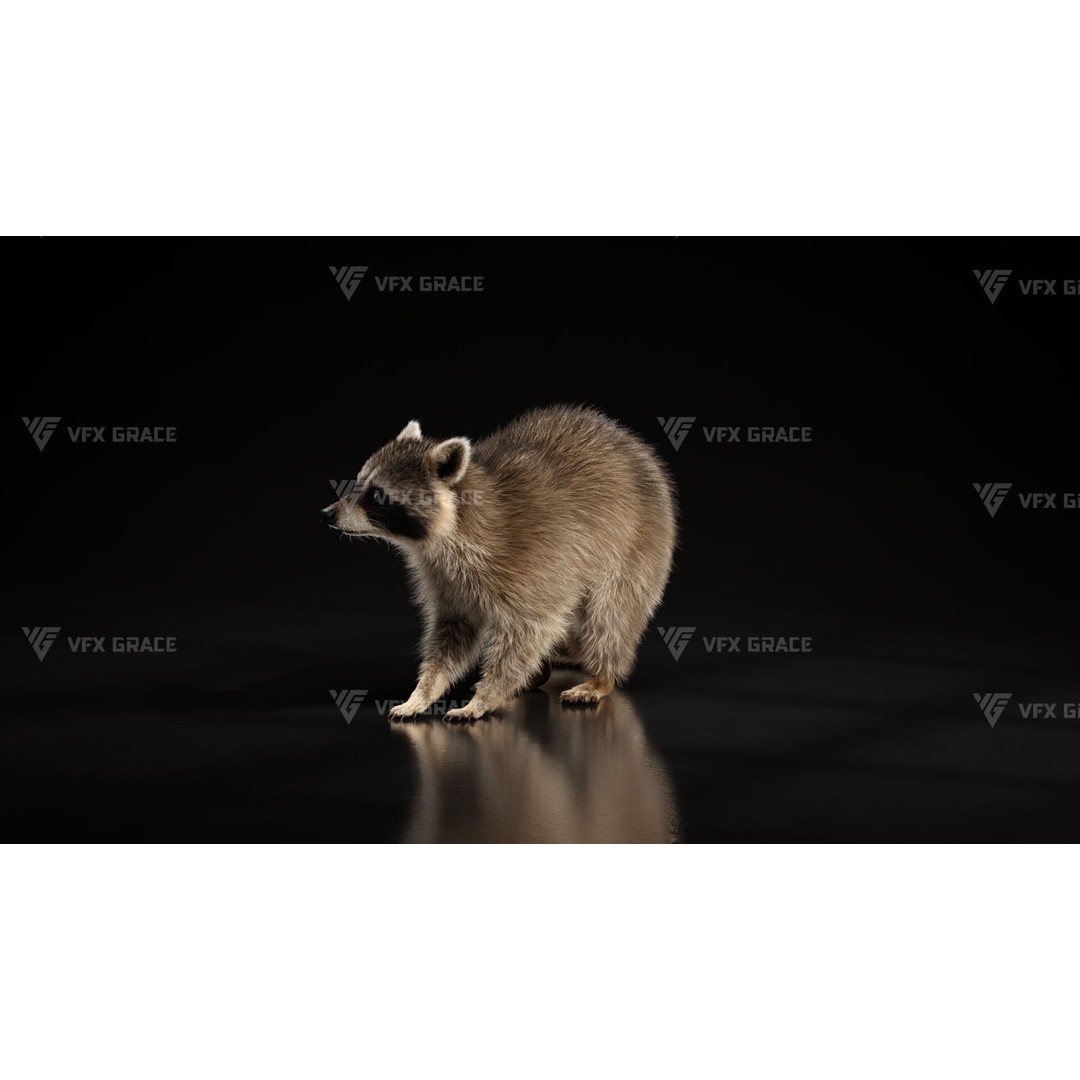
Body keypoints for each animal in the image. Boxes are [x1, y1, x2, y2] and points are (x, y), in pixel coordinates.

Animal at [322, 405, 677, 722]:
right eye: (359, 483)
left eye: (377, 495)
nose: (328, 514)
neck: (449, 529)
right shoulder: (444, 577)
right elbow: (451, 634)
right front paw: (423, 691)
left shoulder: (531, 561)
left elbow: (531, 629)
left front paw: (484, 696)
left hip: (637, 548)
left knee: (607, 616)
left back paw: (603, 674)